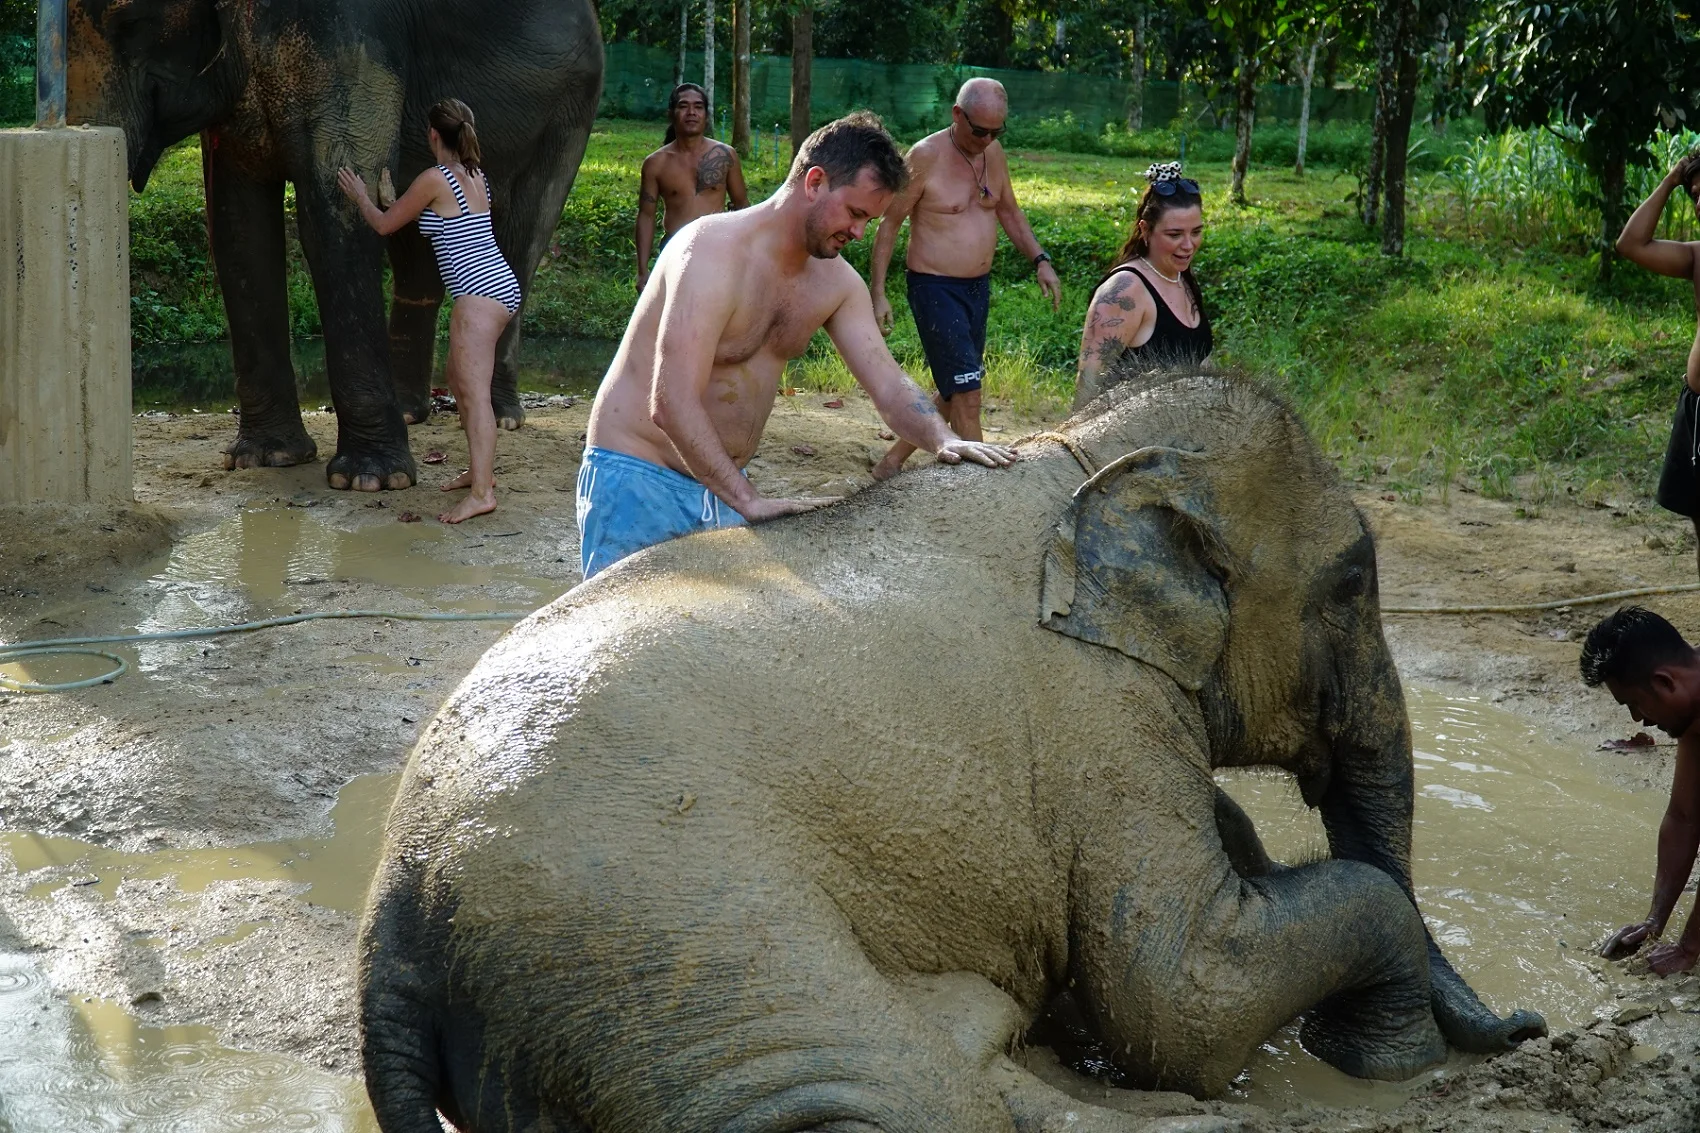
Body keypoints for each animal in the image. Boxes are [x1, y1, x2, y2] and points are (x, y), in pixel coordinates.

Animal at [68, 0, 603, 490]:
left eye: (131, 23)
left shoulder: (348, 35)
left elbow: (330, 218)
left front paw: (371, 481)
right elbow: (237, 226)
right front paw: (266, 459)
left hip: (572, 107)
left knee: (523, 234)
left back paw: (501, 415)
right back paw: (411, 412)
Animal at [358, 371, 1546, 1132]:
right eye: (1351, 583)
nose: (1529, 1021)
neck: (1075, 456)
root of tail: (391, 930)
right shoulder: (1096, 711)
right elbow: (1178, 992)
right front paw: (1385, 1063)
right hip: (668, 941)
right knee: (908, 1096)